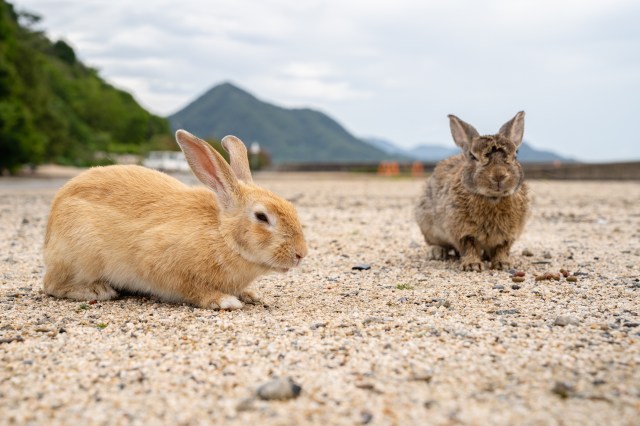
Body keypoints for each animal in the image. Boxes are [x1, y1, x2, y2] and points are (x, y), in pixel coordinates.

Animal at [43, 130, 308, 309]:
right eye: (261, 217)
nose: (301, 254)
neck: (222, 235)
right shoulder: (163, 267)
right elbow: (192, 290)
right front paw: (225, 301)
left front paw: (250, 295)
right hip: (81, 255)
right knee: (51, 285)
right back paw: (97, 290)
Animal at [415, 111, 530, 271]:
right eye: (473, 156)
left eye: (515, 155)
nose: (499, 175)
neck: (492, 198)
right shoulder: (463, 231)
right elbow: (469, 247)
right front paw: (472, 265)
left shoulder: (509, 233)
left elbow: (502, 248)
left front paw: (503, 264)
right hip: (427, 224)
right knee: (435, 242)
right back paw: (436, 252)